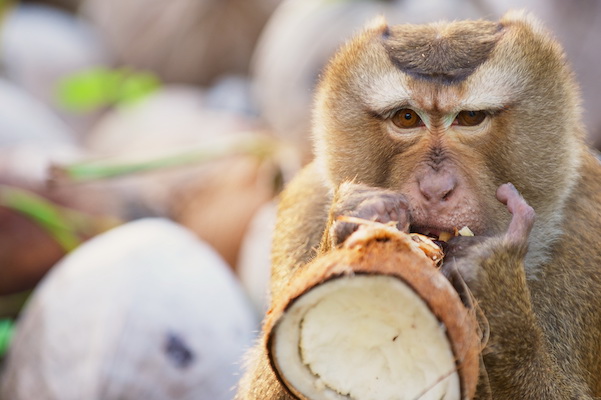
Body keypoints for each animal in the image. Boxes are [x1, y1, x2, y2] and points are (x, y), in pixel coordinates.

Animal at [237, 10, 600, 400]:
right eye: (407, 117)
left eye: (470, 118)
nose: (435, 188)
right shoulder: (303, 206)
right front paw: (356, 219)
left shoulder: (587, 230)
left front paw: (492, 278)